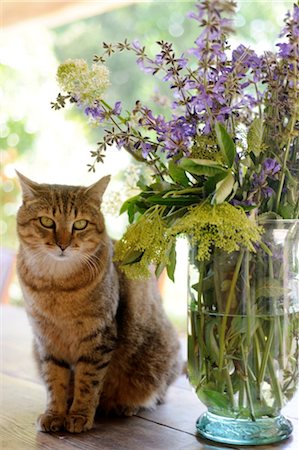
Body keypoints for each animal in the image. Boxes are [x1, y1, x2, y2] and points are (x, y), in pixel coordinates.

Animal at [16, 171, 183, 432]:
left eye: (80, 224)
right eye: (46, 221)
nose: (62, 244)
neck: (56, 285)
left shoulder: (98, 337)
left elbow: (87, 381)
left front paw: (79, 415)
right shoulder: (46, 340)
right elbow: (55, 380)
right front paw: (55, 413)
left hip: (159, 356)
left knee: (156, 394)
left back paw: (127, 406)